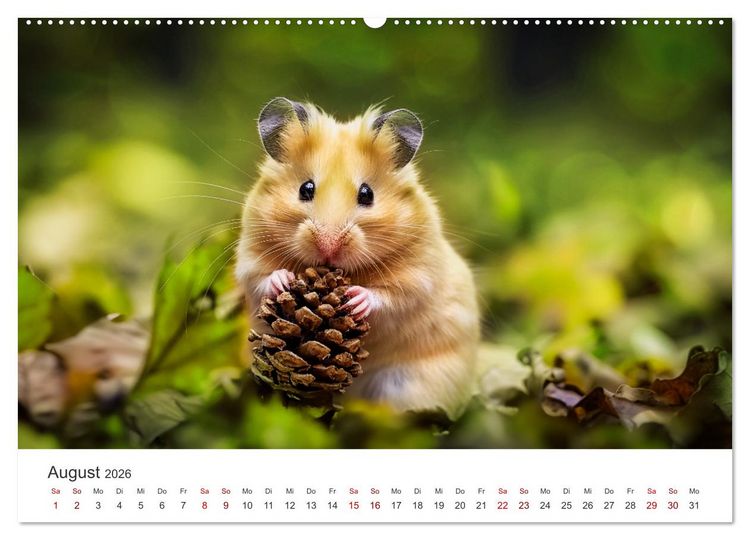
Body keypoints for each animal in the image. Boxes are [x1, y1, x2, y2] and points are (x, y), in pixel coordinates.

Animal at [235, 97, 480, 419]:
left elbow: (394, 297)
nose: (328, 246)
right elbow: (260, 278)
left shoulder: (419, 275)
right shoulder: (249, 256)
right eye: (306, 189)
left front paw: (355, 298)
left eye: (366, 194)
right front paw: (283, 279)